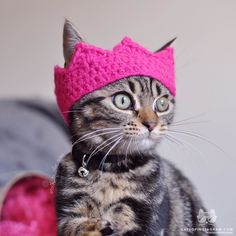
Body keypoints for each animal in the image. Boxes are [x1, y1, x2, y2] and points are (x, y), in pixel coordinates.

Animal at [54, 20, 216, 236]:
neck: (111, 170)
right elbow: (78, 226)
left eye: (162, 104)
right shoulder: (69, 214)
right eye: (122, 100)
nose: (151, 124)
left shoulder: (145, 219)